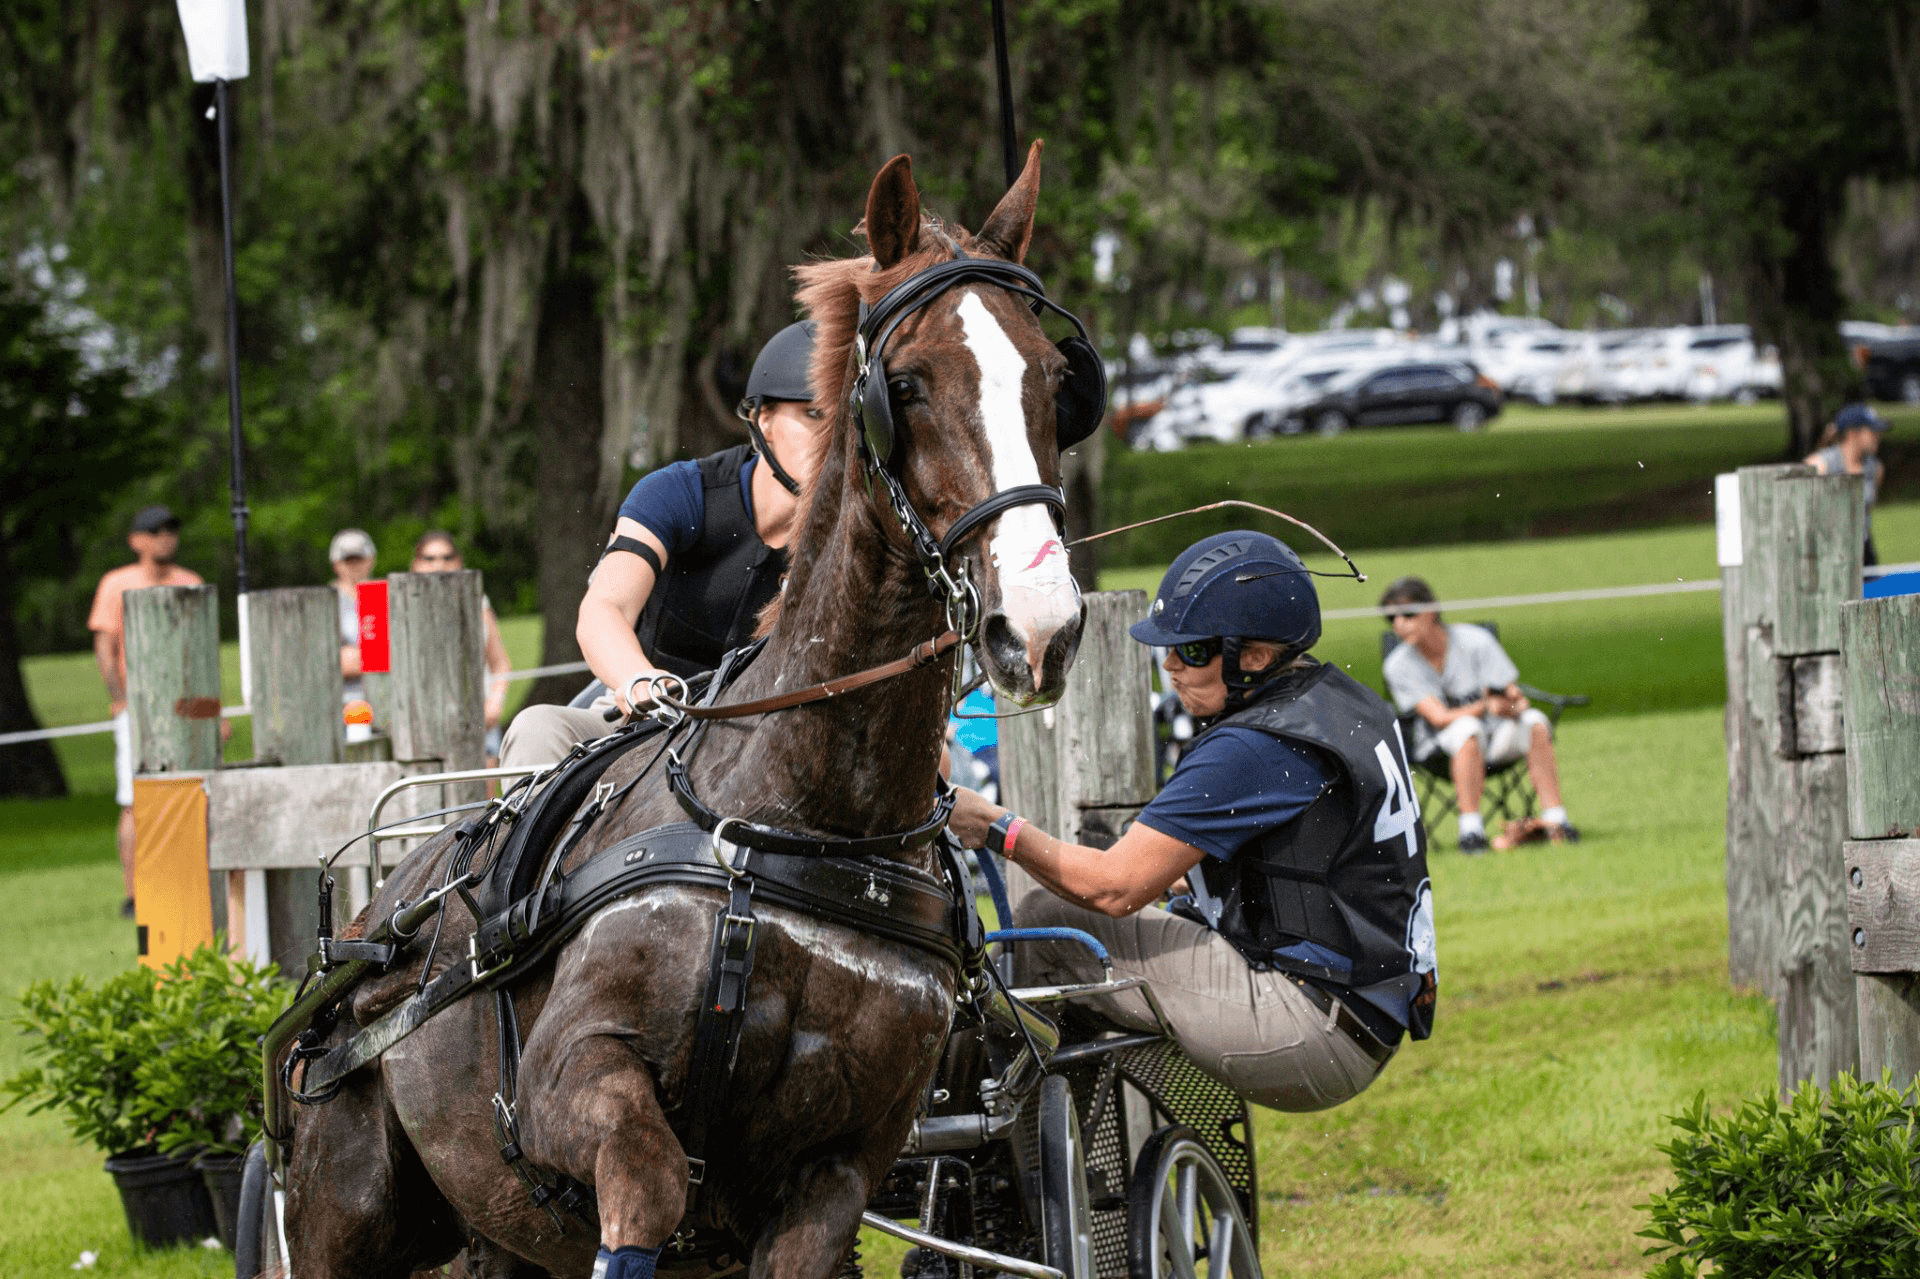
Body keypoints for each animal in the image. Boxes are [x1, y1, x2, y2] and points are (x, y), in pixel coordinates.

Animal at [286, 144, 1098, 1275]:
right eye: (906, 385)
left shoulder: (838, 1166)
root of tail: (368, 921)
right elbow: (653, 1184)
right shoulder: (573, 1085)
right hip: (345, 1204)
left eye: (1059, 384)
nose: (1041, 621)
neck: (800, 820)